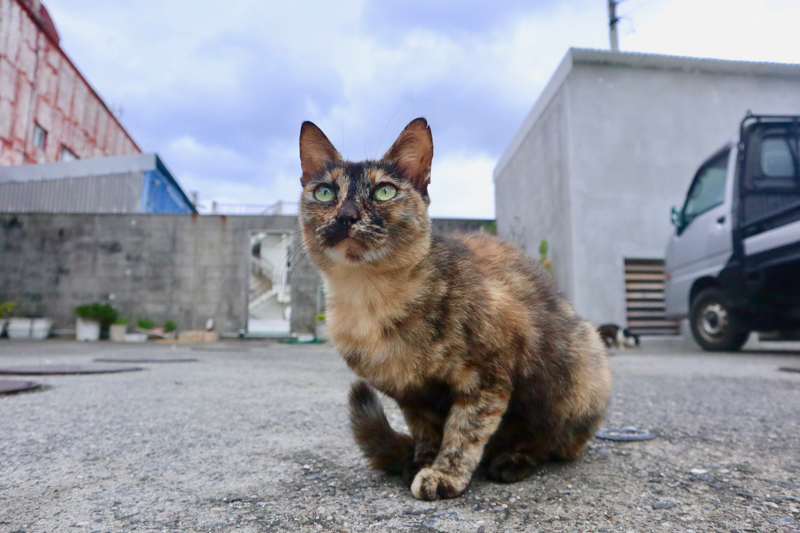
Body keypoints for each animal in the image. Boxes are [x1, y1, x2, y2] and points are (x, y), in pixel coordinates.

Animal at [300, 117, 612, 498]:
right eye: (325, 192)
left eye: (384, 192)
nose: (346, 215)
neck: (369, 299)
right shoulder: (410, 395)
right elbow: (426, 431)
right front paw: (421, 462)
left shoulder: (489, 376)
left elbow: (465, 431)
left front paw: (444, 475)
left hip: (578, 371)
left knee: (550, 440)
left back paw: (513, 459)